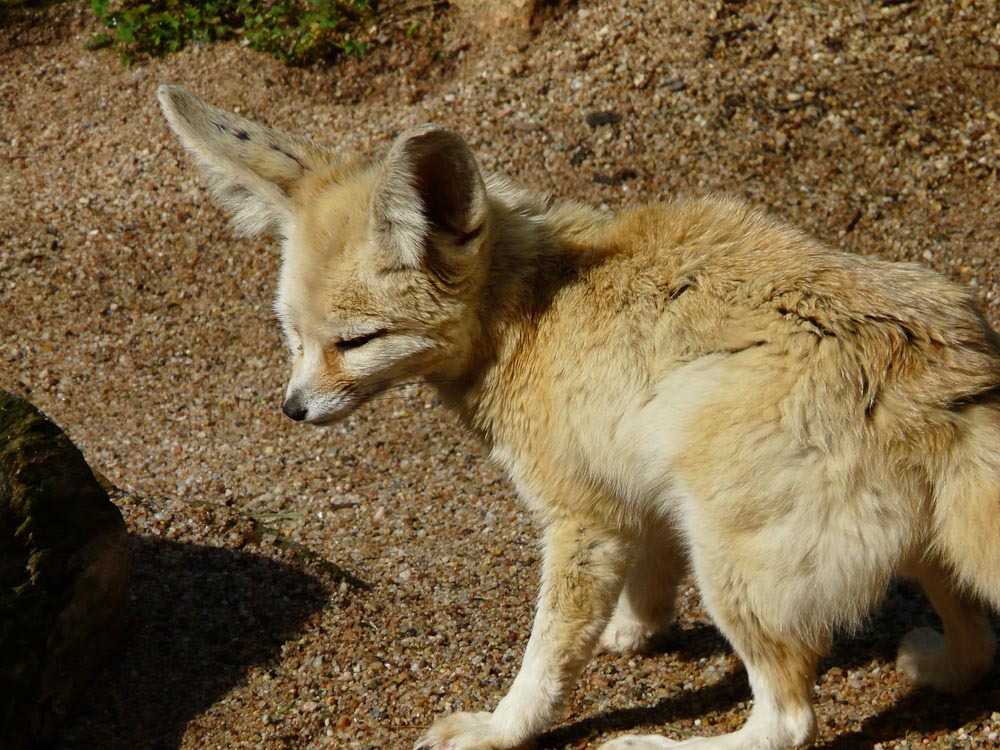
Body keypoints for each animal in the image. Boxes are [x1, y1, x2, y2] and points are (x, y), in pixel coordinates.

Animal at [158, 83, 1000, 750]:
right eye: (291, 335)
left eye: (356, 342)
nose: (294, 408)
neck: (529, 304)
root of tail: (945, 373)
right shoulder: (633, 474)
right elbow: (651, 564)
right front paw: (637, 624)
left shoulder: (581, 513)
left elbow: (547, 654)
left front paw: (503, 728)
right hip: (901, 542)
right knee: (976, 646)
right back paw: (939, 665)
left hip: (731, 552)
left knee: (791, 722)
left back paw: (658, 746)